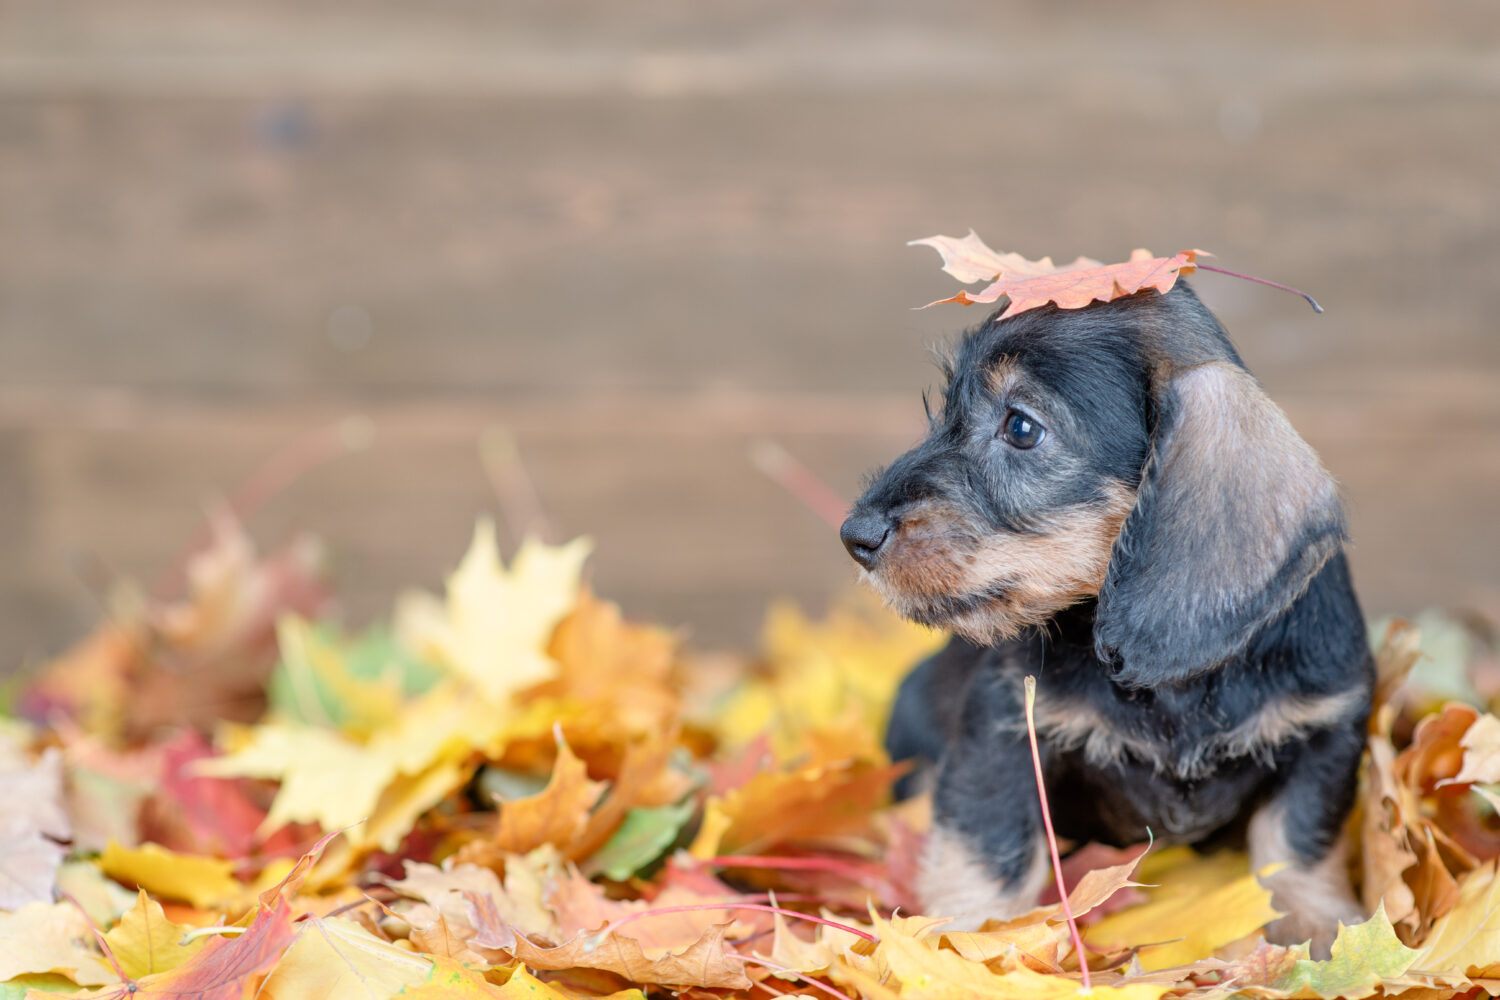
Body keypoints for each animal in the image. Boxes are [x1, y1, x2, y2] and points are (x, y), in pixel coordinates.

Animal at [846, 281, 1374, 953]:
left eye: (1022, 427)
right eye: (946, 409)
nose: (855, 534)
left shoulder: (1325, 735)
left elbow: (1297, 844)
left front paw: (1318, 927)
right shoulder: (1002, 734)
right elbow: (989, 852)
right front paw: (971, 938)